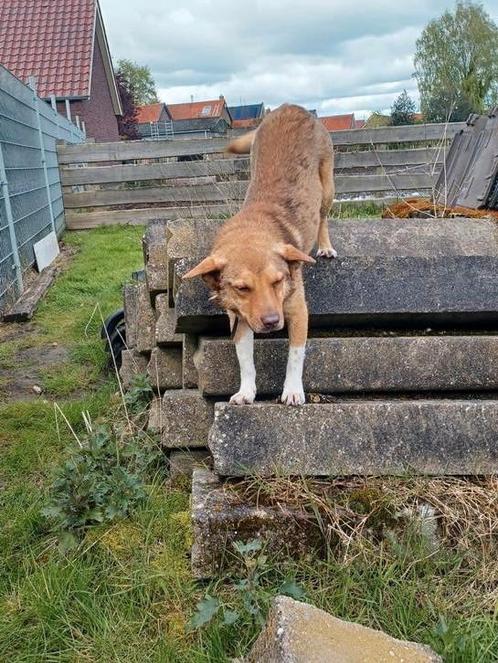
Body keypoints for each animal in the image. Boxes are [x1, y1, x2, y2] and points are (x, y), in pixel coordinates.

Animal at [185, 104, 336, 404]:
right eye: (242, 288)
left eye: (278, 281)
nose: (271, 322)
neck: (252, 229)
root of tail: (290, 106)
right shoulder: (239, 319)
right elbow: (245, 360)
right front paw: (246, 391)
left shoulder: (298, 311)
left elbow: (295, 356)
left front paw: (292, 391)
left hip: (327, 186)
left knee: (323, 217)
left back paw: (325, 246)